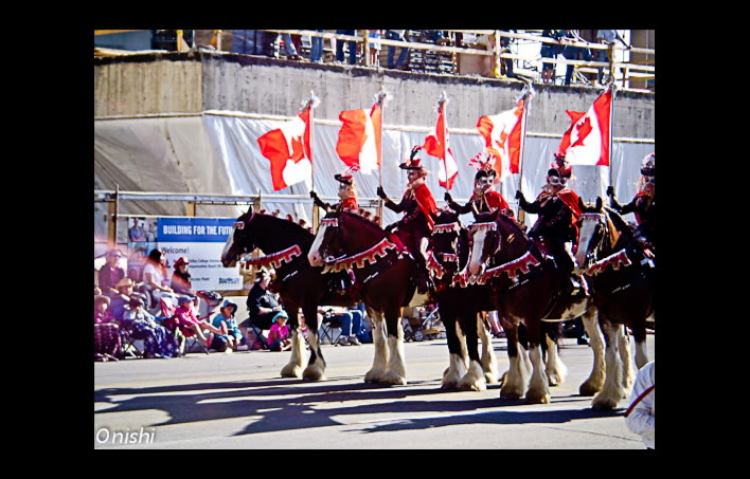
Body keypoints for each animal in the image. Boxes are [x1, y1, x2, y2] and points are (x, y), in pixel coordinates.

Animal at [220, 208, 362, 380]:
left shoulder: (309, 303)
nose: (224, 257)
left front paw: (314, 368)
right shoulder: (290, 304)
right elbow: (295, 333)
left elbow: (312, 334)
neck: (299, 259)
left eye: (239, 231)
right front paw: (294, 366)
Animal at [306, 212, 424, 384]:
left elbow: (393, 337)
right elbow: (379, 339)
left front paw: (395, 375)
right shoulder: (372, 307)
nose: (312, 257)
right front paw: (376, 372)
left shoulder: (392, 306)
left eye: (331, 230)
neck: (382, 260)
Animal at [576, 199, 656, 408]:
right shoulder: (608, 320)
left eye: (599, 227)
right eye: (579, 224)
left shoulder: (637, 321)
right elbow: (611, 355)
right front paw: (608, 396)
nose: (580, 260)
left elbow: (642, 360)